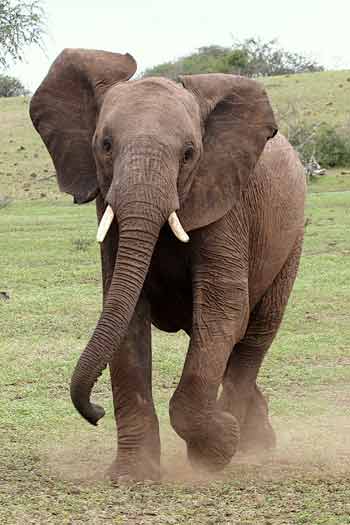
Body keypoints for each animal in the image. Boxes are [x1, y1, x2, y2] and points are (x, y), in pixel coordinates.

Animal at [30, 48, 306, 478]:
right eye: (105, 145)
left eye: (190, 154)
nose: (96, 412)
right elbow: (125, 313)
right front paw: (132, 476)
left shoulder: (225, 199)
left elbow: (223, 308)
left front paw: (215, 452)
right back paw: (255, 439)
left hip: (290, 238)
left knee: (254, 335)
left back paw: (245, 444)